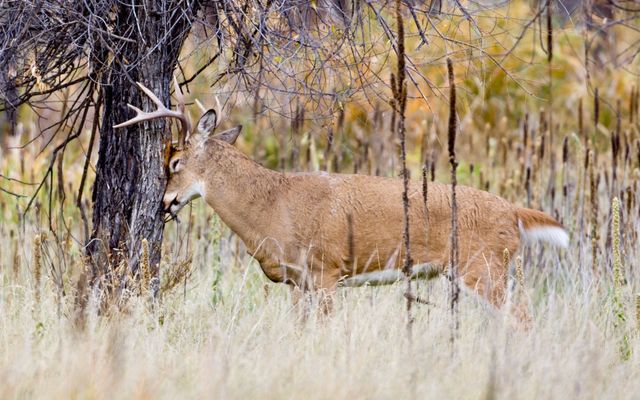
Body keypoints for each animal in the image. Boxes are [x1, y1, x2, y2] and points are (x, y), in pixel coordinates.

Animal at [115, 79, 569, 318]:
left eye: (175, 162)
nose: (164, 202)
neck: (271, 205)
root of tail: (513, 213)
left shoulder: (326, 270)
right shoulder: (298, 282)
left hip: (484, 268)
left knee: (522, 321)